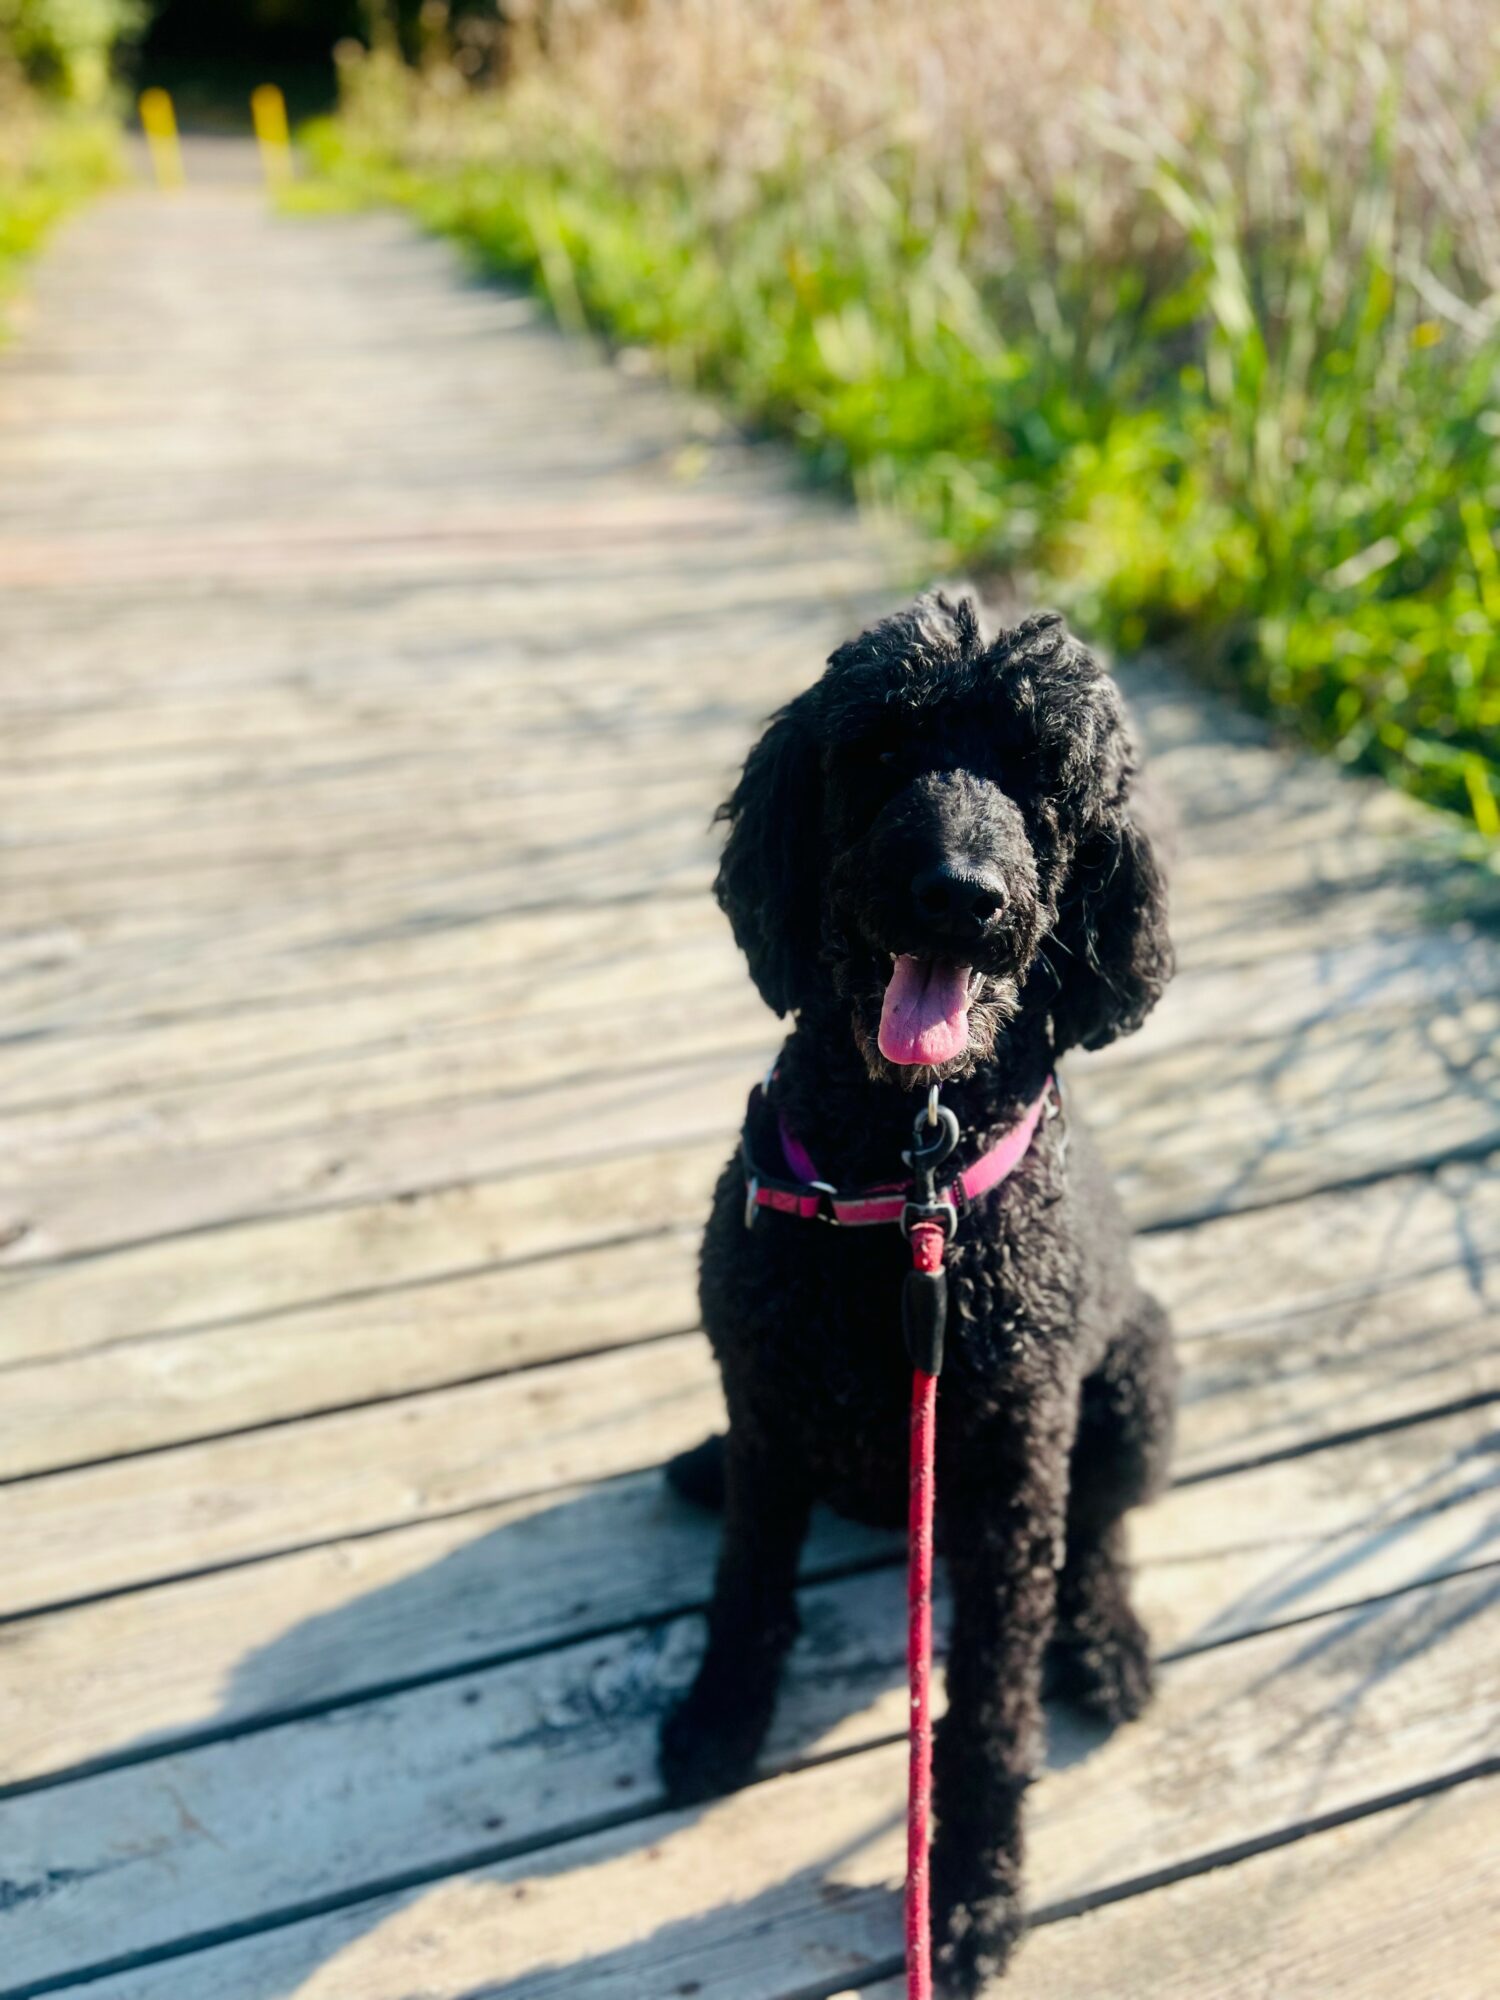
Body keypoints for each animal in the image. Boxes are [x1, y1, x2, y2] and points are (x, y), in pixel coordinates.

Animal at [658, 594, 1177, 1993]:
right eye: (882, 752)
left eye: (1045, 777)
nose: (958, 893)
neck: (903, 1175)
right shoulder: (769, 1393)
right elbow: (746, 1585)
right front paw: (719, 1718)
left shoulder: (1010, 1478)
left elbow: (989, 1711)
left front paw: (972, 1893)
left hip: (1138, 1384)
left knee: (1102, 1532)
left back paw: (1107, 1643)